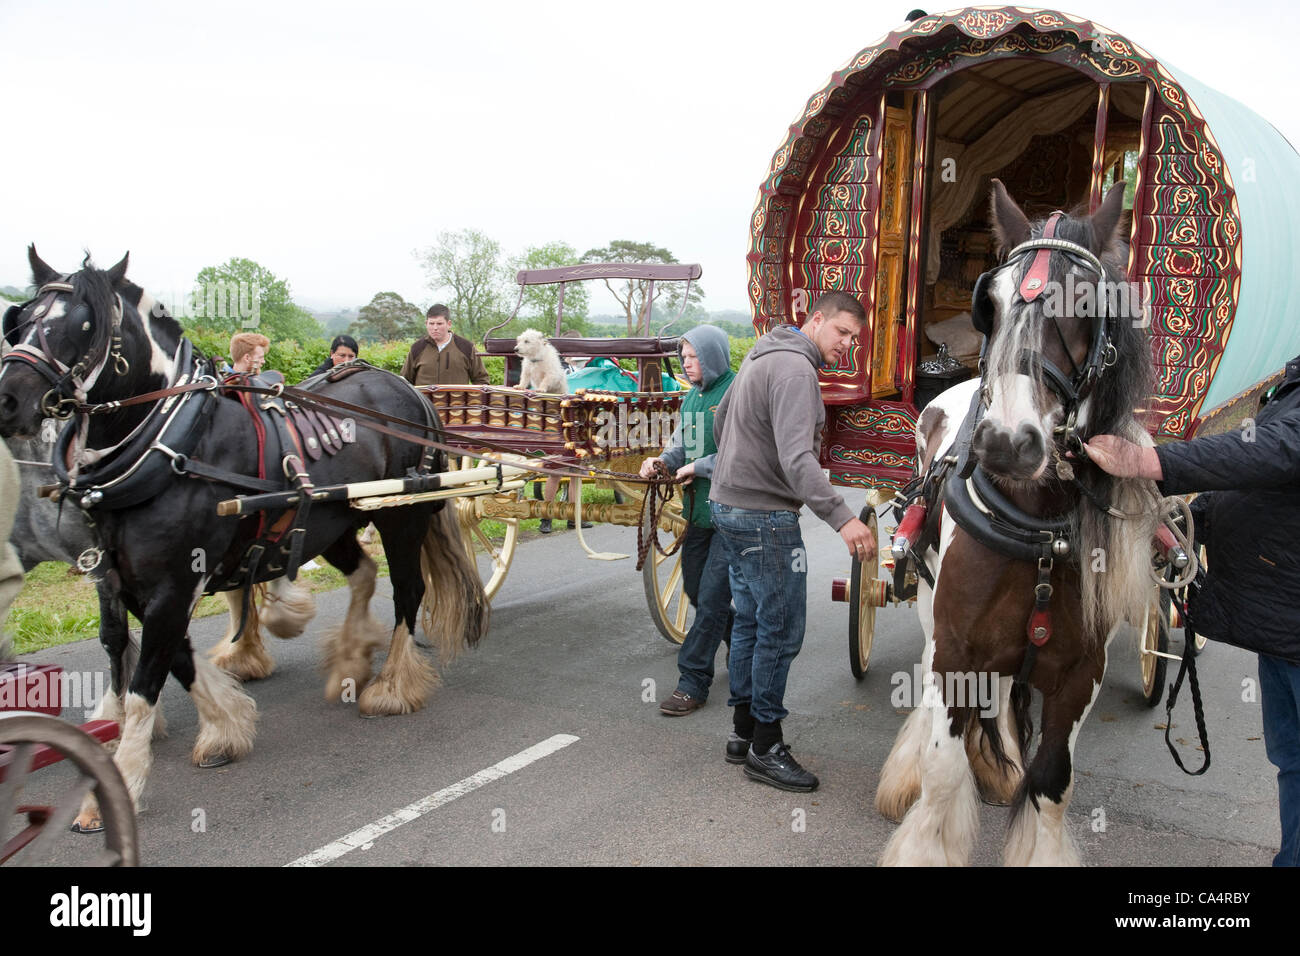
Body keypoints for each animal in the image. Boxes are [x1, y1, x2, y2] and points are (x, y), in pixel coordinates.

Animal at [0, 251, 488, 832]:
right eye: (19, 320)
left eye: (85, 325)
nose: (7, 399)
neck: (170, 442)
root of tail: (407, 389)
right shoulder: (125, 580)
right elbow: (157, 655)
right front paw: (224, 726)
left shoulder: (175, 583)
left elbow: (146, 682)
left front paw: (116, 788)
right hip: (333, 520)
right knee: (365, 574)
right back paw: (350, 658)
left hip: (401, 516)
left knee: (408, 592)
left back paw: (391, 686)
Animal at [873, 179, 1159, 868]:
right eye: (992, 304)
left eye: (1086, 303)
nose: (1006, 442)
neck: (1037, 535)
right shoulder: (956, 652)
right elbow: (943, 768)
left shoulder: (1079, 675)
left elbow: (1052, 781)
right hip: (931, 607)